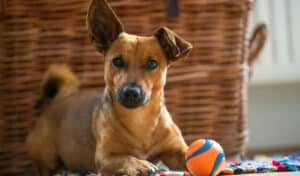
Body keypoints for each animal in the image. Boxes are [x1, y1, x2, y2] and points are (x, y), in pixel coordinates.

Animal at [27, 0, 192, 175]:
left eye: (152, 64)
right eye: (117, 61)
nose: (131, 92)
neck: (139, 120)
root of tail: (55, 103)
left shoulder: (177, 150)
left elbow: (189, 154)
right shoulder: (105, 159)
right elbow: (126, 158)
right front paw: (140, 164)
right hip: (47, 155)